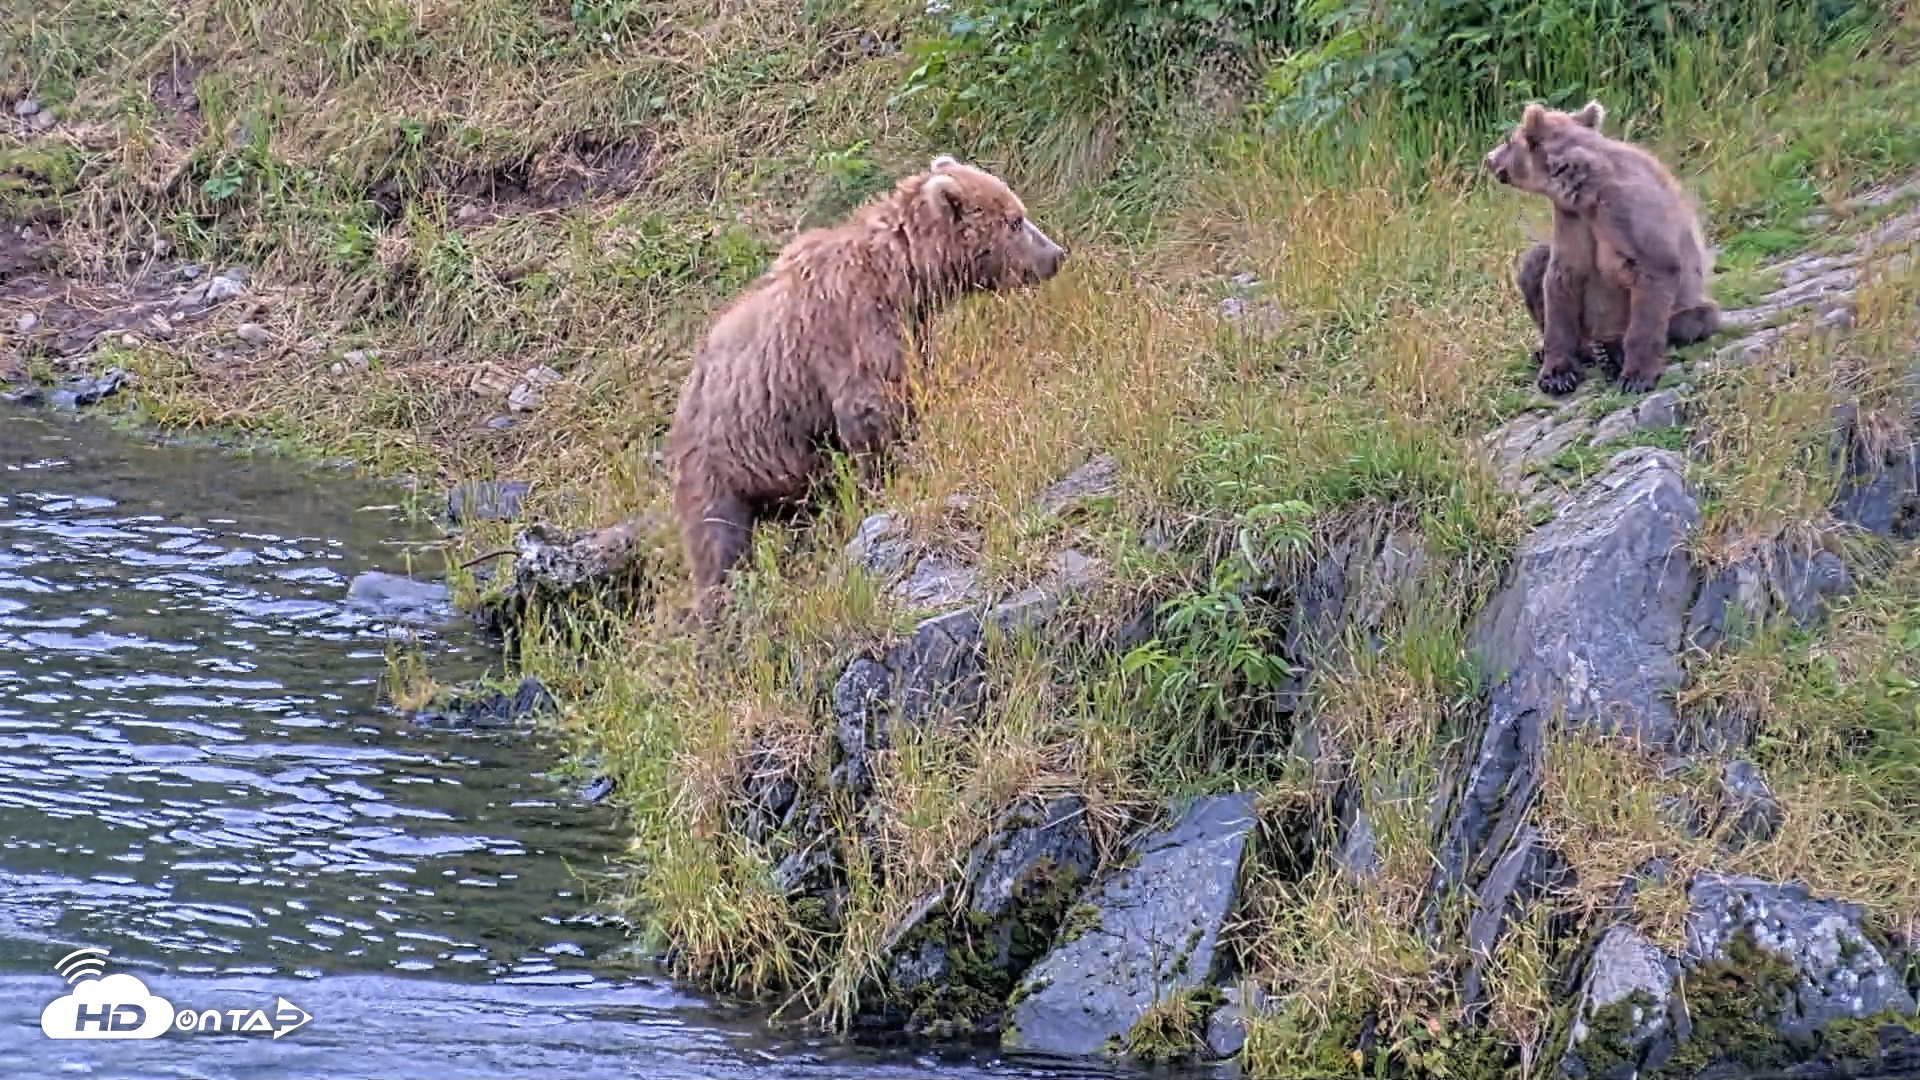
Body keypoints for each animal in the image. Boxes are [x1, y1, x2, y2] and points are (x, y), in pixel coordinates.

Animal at [667, 154, 1068, 618]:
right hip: (724, 458)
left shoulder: (912, 331)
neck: (902, 273)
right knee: (718, 541)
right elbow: (872, 409)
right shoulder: (856, 330)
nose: (1056, 254)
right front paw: (889, 478)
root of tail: (679, 409)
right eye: (1015, 221)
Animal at [1484, 99, 1721, 395]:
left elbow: (1655, 267)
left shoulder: (1624, 207)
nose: (1489, 158)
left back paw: (1611, 351)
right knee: (1534, 262)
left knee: (1692, 319)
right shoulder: (1572, 218)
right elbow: (1561, 278)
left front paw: (1636, 376)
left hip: (1689, 302)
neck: (1584, 189)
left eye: (1508, 140)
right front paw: (1557, 374)